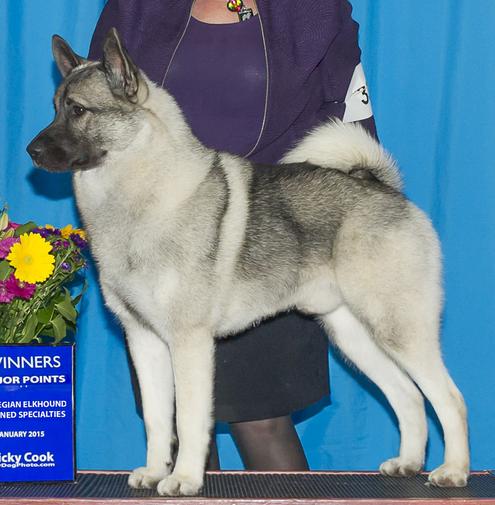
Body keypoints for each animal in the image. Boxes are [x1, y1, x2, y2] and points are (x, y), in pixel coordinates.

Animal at [27, 29, 468, 494]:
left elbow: (189, 420)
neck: (138, 192)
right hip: (354, 335)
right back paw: (408, 462)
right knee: (408, 395)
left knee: (448, 398)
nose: (31, 150)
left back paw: (453, 470)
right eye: (55, 107)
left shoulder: (189, 341)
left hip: (398, 327)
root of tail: (386, 191)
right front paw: (154, 471)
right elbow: (156, 419)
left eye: (78, 110)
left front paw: (184, 479)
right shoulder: (145, 341)